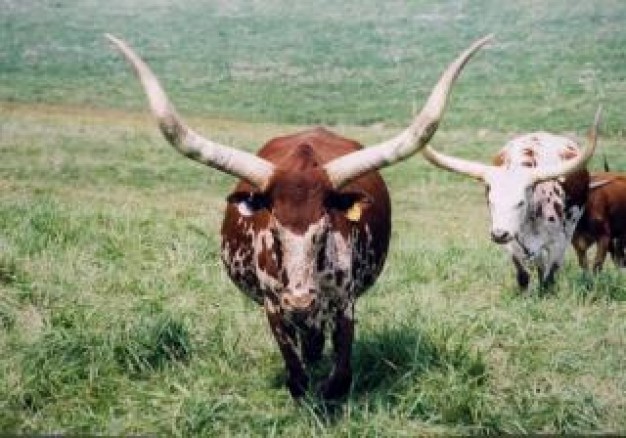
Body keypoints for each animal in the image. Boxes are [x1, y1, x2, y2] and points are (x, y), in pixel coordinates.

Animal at [106, 33, 488, 396]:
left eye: (323, 232)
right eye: (275, 230)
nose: (300, 299)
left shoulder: (344, 304)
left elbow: (340, 375)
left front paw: (329, 390)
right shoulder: (274, 307)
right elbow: (297, 374)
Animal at [420, 108, 600, 290]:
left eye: (520, 202)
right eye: (490, 201)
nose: (499, 234)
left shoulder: (558, 243)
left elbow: (549, 278)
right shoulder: (512, 243)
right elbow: (523, 275)